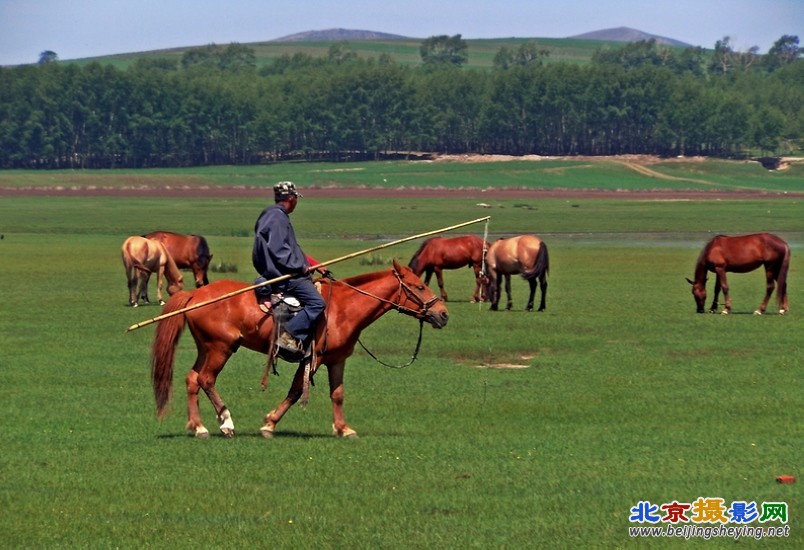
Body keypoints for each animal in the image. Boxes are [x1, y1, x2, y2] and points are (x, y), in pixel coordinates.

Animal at [149, 260, 446, 440]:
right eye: (420, 286)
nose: (443, 314)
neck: (342, 309)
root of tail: (195, 295)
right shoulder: (313, 359)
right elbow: (294, 392)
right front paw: (269, 424)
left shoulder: (337, 360)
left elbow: (337, 394)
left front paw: (344, 428)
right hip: (221, 348)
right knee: (206, 379)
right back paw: (226, 422)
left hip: (206, 348)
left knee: (192, 380)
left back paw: (198, 426)